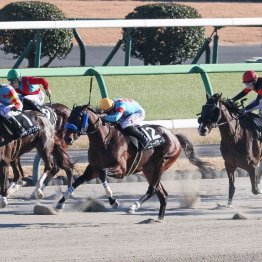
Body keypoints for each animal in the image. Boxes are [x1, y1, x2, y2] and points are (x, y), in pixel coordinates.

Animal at [56, 104, 210, 221]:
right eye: (69, 116)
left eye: (79, 117)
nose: (67, 138)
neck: (104, 140)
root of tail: (174, 136)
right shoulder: (92, 169)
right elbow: (76, 182)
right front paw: (60, 204)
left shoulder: (120, 170)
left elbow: (103, 175)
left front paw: (113, 201)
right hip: (149, 169)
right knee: (162, 194)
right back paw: (158, 219)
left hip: (161, 163)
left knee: (152, 189)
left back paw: (133, 207)